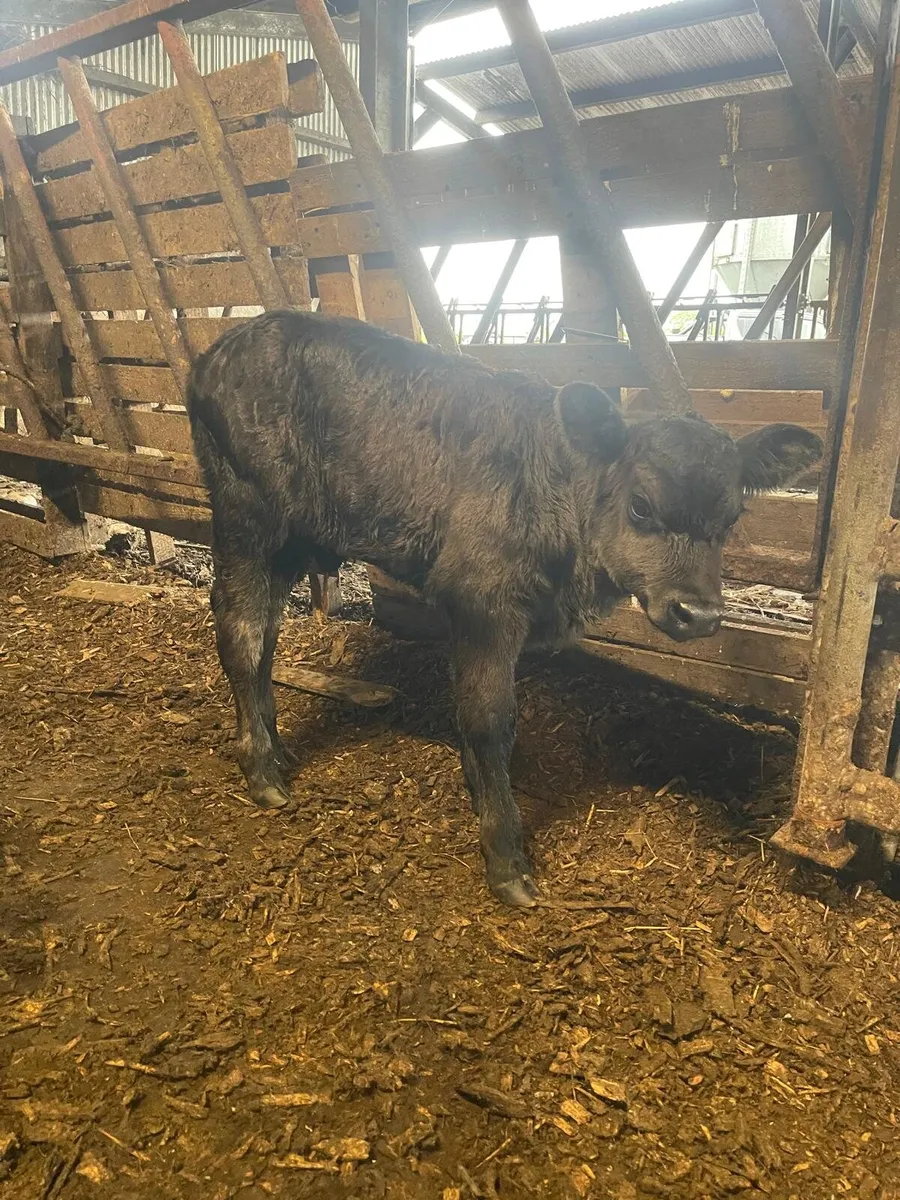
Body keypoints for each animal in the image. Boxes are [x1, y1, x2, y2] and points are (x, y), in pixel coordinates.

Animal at [187, 310, 822, 907]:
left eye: (733, 516)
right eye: (641, 505)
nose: (700, 613)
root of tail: (223, 349)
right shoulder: (482, 604)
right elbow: (488, 719)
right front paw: (506, 857)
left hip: (290, 542)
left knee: (265, 632)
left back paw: (277, 748)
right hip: (249, 520)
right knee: (240, 628)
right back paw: (263, 772)